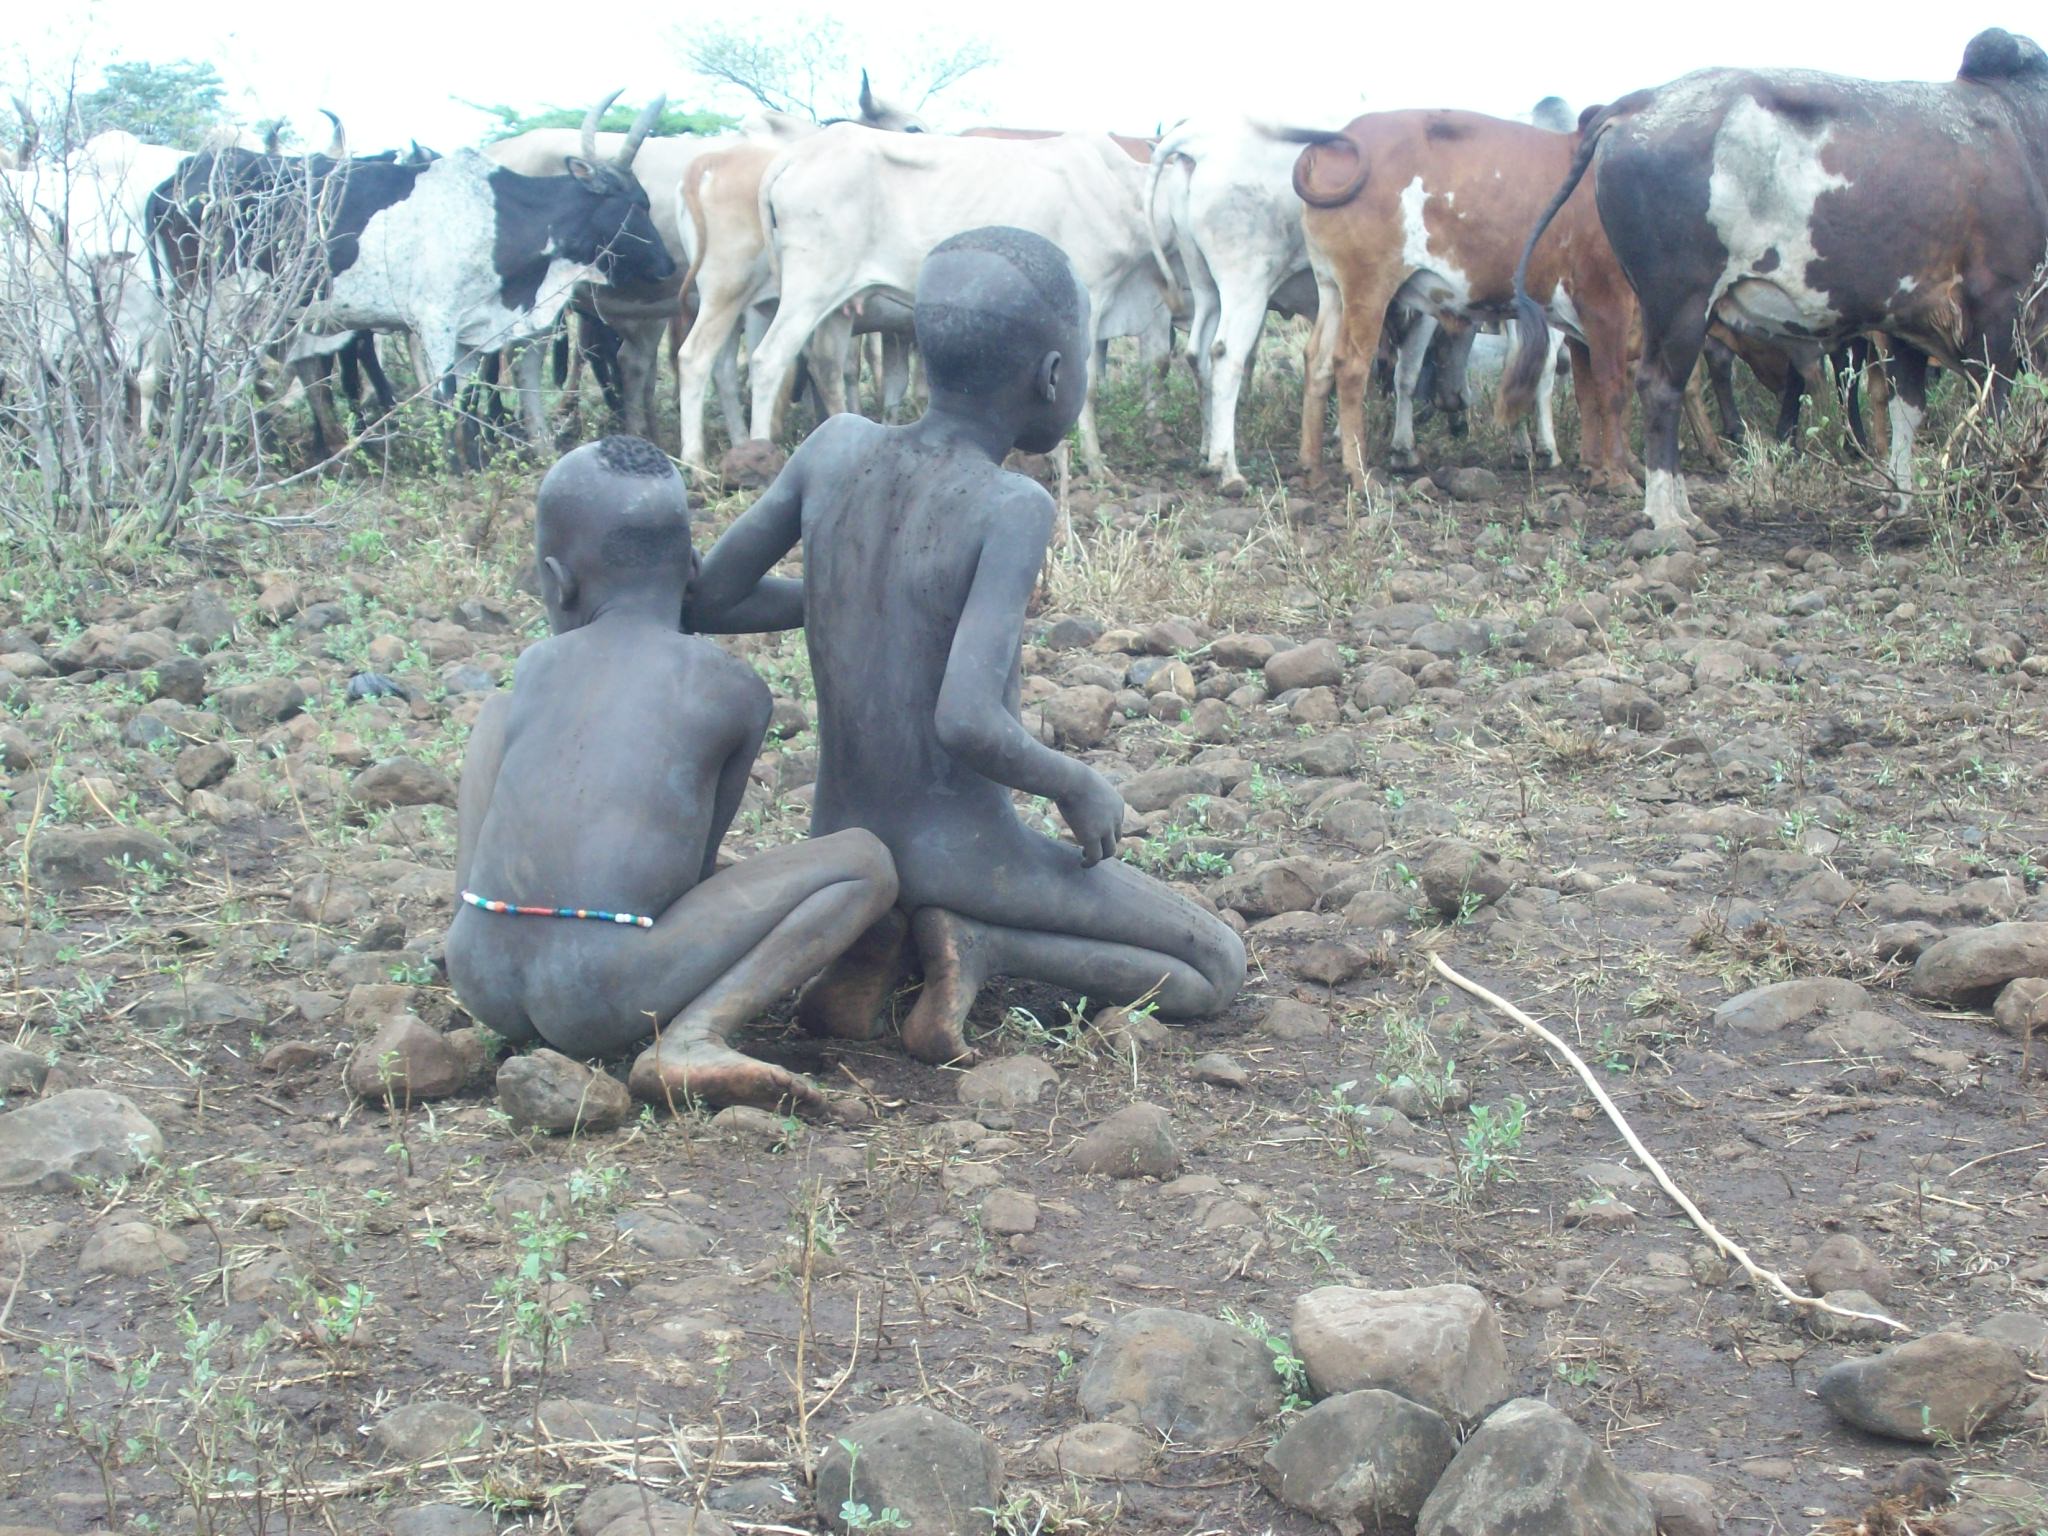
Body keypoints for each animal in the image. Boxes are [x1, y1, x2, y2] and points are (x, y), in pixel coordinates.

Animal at [749, 129, 1171, 473]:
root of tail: (795, 155)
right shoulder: (1092, 293)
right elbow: (1089, 389)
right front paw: (1096, 463)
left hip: (841, 302)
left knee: (826, 368)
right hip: (811, 285)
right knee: (768, 359)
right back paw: (758, 451)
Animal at [1286, 115, 1638, 499]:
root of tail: (1337, 139)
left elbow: (1588, 392)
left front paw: (1595, 468)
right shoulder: (1606, 304)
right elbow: (1611, 389)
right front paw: (1619, 475)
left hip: (1332, 286)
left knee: (1318, 362)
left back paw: (1313, 469)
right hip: (1368, 286)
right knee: (1350, 366)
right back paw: (1361, 473)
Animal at [1507, 25, 2048, 536]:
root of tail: (1643, 102)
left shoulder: (1907, 318)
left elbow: (1906, 412)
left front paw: (1900, 501)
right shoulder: (1999, 304)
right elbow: (1996, 408)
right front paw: (1997, 495)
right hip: (1681, 301)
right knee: (1660, 388)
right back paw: (1670, 515)